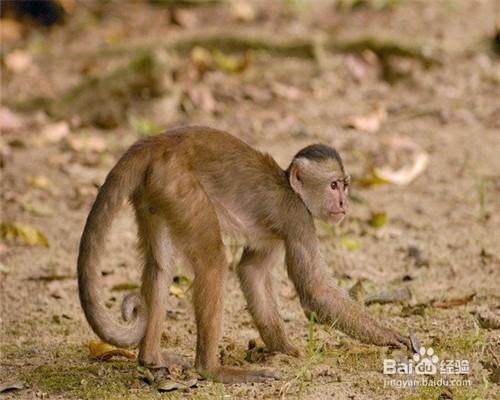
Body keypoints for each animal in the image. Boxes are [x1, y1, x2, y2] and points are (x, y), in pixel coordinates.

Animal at [77, 126, 406, 382]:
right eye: (333, 185)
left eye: (345, 187)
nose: (343, 203)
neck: (292, 190)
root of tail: (157, 142)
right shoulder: (297, 218)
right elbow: (314, 292)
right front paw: (391, 335)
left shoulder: (278, 232)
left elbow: (252, 272)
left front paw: (284, 349)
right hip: (176, 184)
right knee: (212, 262)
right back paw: (211, 369)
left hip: (154, 190)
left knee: (161, 265)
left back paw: (151, 358)